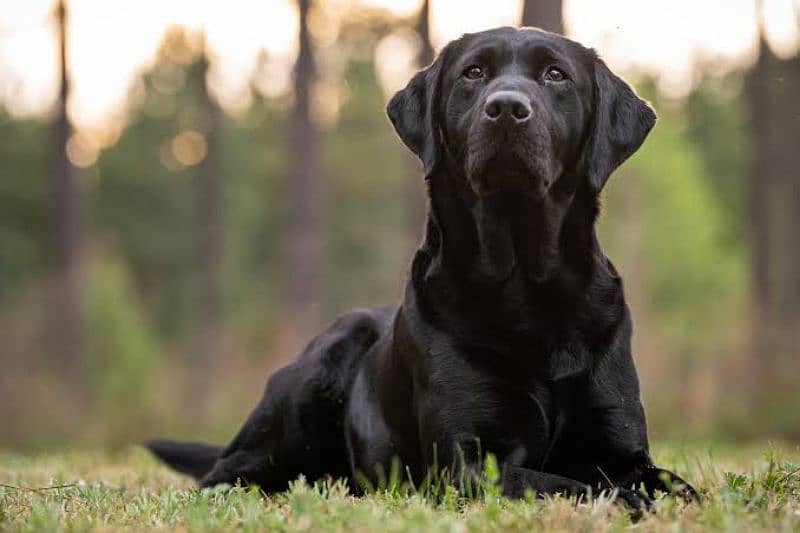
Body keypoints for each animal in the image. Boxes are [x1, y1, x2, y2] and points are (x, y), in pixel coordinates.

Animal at [147, 27, 696, 510]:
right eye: (473, 73)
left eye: (556, 75)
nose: (506, 108)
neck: (525, 286)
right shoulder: (470, 462)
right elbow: (566, 485)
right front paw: (625, 502)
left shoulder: (622, 448)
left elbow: (676, 487)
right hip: (316, 371)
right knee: (227, 474)